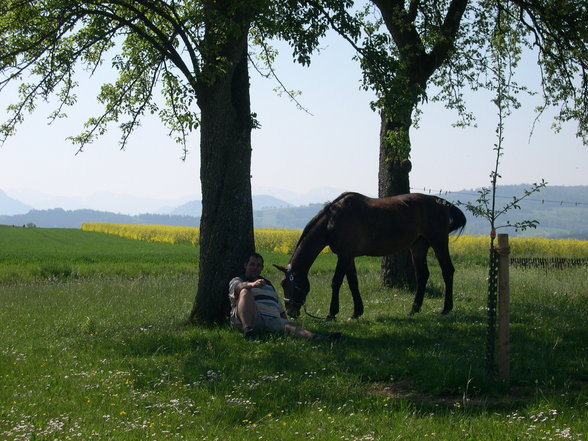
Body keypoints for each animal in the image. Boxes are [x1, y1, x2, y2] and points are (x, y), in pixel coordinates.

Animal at [274, 191, 466, 318]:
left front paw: (331, 314)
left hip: (438, 242)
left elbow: (336, 282)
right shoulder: (348, 256)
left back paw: (446, 309)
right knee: (422, 275)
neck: (332, 221)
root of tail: (440, 203)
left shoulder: (344, 255)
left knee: (447, 271)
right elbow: (353, 283)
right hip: (418, 245)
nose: (290, 312)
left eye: (286, 284)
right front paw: (356, 312)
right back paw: (413, 309)